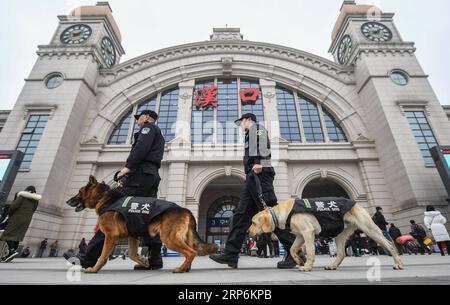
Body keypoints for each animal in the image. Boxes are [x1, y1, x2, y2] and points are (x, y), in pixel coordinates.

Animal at [67, 176, 220, 274]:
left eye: (79, 192)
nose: (68, 201)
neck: (104, 197)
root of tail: (185, 209)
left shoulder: (110, 236)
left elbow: (102, 255)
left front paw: (94, 269)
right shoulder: (132, 236)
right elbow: (132, 254)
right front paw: (144, 262)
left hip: (169, 239)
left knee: (191, 252)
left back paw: (181, 269)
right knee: (191, 251)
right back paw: (185, 268)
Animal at [248, 197, 406, 270]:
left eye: (254, 223)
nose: (248, 232)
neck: (283, 213)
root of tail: (357, 203)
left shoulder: (308, 232)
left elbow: (310, 251)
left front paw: (307, 266)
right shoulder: (300, 235)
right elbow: (292, 249)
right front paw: (298, 261)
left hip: (369, 229)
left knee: (390, 244)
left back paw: (398, 263)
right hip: (341, 235)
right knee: (341, 253)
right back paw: (333, 266)